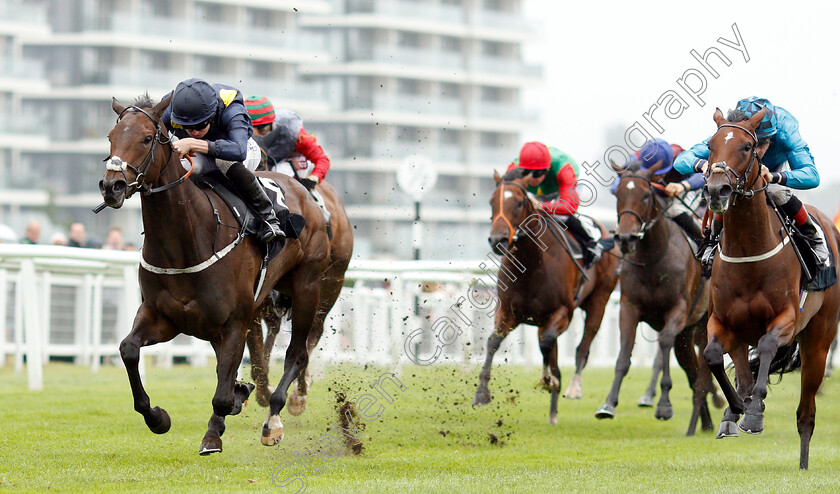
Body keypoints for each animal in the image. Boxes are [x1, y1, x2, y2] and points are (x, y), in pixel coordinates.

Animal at [100, 94, 330, 454]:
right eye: (111, 138)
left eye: (147, 138)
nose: (112, 186)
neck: (185, 242)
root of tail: (302, 188)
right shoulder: (163, 316)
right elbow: (128, 350)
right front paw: (157, 417)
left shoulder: (235, 320)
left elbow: (222, 391)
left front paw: (213, 434)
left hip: (308, 286)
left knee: (297, 354)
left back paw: (274, 419)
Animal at [704, 107, 840, 466]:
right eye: (710, 145)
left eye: (747, 147)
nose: (717, 190)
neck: (749, 252)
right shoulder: (722, 321)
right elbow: (712, 356)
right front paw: (738, 406)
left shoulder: (787, 319)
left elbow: (766, 346)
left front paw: (753, 413)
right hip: (741, 334)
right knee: (741, 370)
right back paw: (732, 413)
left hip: (818, 342)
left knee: (806, 413)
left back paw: (803, 462)